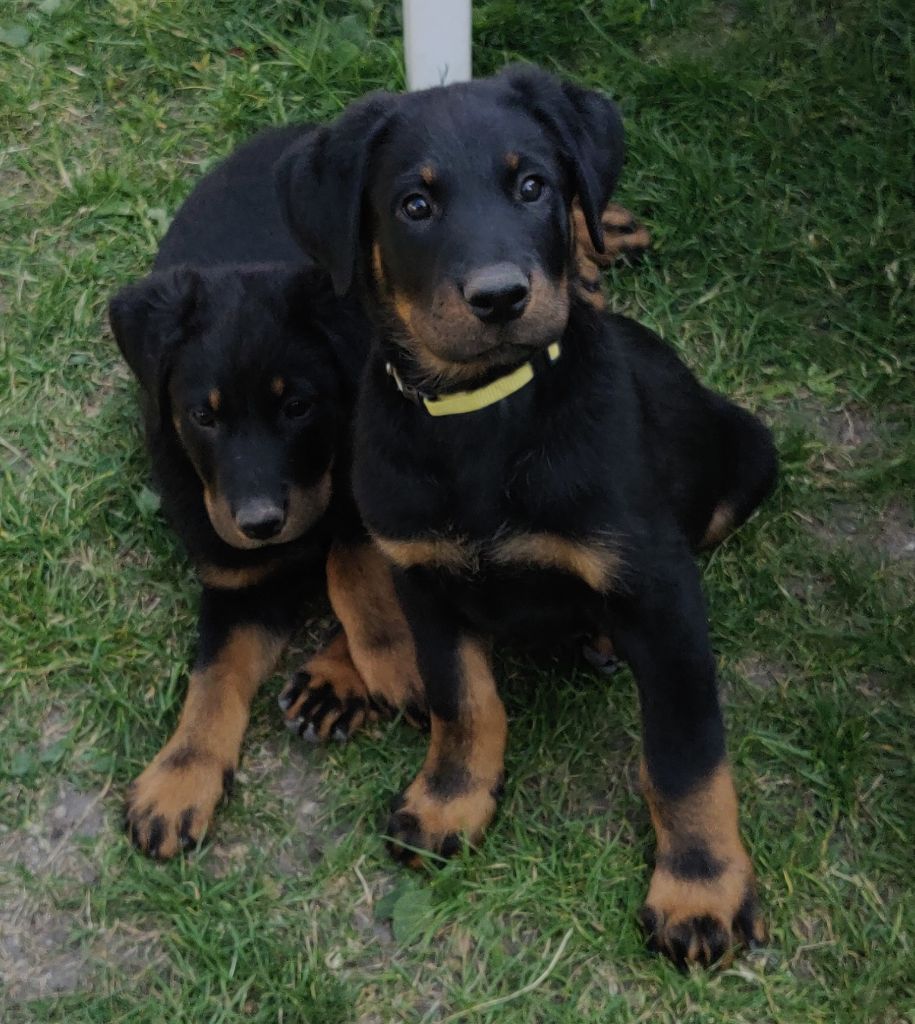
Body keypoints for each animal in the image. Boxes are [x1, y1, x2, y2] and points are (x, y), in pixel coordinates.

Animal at [276, 66, 777, 967]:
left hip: (746, 460)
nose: (502, 296)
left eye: (533, 186)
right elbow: (460, 700)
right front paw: (449, 802)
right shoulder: (423, 577)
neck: (484, 412)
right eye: (414, 205)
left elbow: (685, 752)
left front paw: (700, 889)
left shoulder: (660, 589)